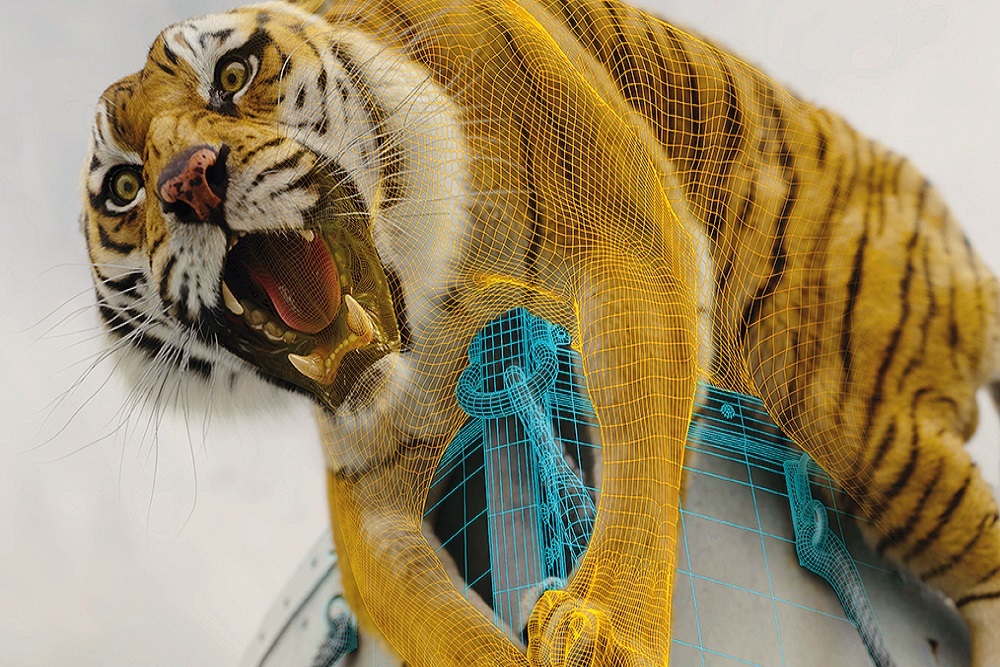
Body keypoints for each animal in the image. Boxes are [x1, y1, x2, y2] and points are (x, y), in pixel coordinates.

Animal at [80, 0, 1000, 664]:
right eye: (124, 188)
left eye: (233, 75)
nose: (188, 182)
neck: (436, 296)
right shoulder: (367, 486)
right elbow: (431, 614)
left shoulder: (625, 240)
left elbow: (637, 446)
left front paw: (605, 626)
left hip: (856, 417)